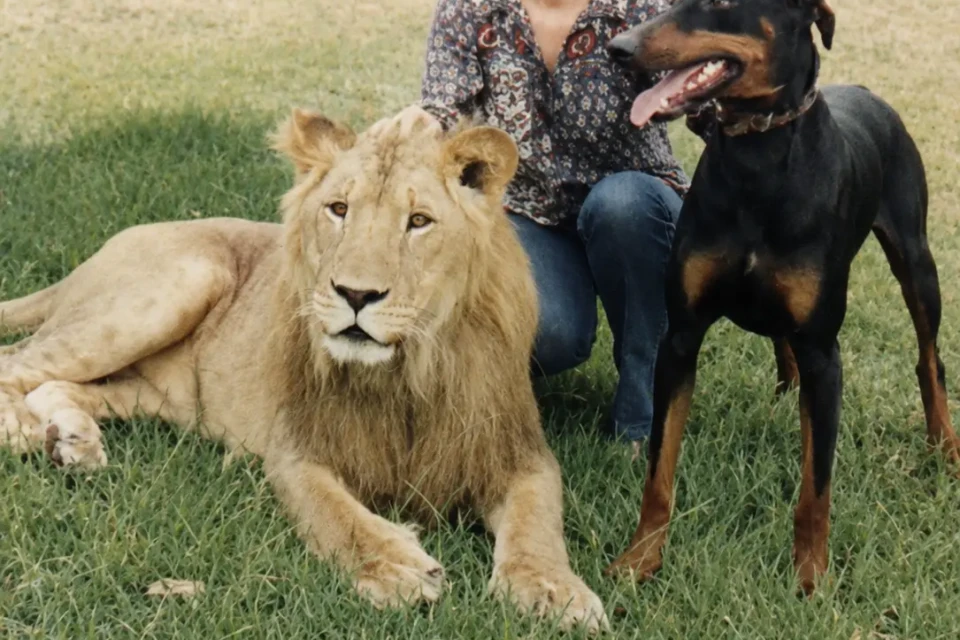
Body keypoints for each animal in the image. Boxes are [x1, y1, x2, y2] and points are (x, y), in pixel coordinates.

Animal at [0, 107, 608, 632]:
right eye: (338, 209)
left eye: (418, 222)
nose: (356, 294)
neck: (409, 371)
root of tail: (113, 242)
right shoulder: (297, 448)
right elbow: (337, 514)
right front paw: (397, 567)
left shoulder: (515, 450)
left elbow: (537, 522)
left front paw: (554, 590)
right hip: (176, 284)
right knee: (17, 362)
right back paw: (25, 432)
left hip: (162, 391)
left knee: (59, 384)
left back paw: (73, 442)